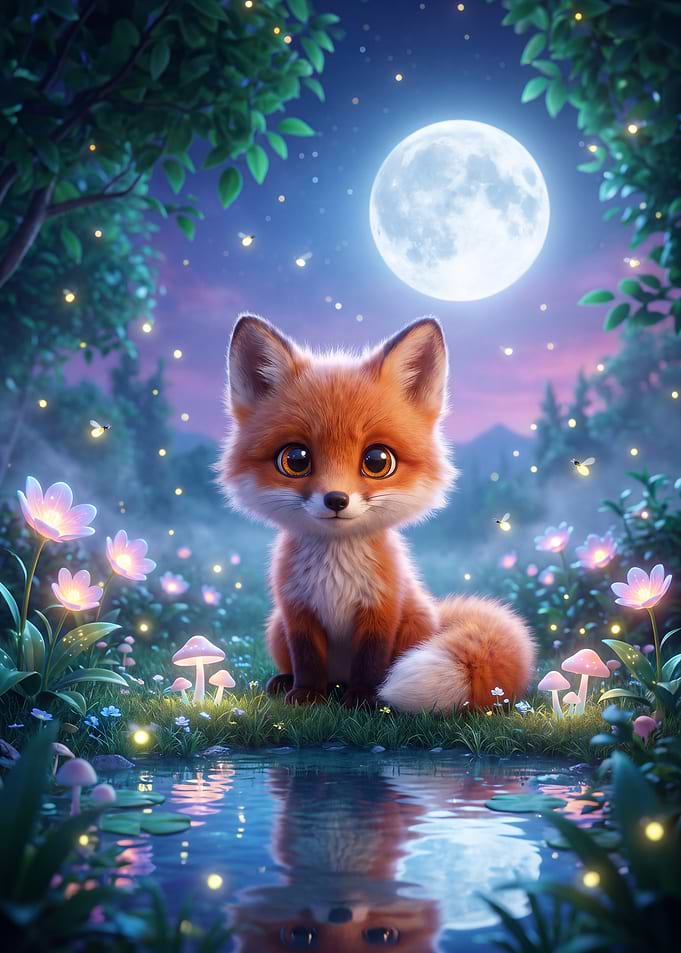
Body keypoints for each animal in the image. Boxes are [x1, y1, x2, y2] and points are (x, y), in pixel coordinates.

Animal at [219, 314, 535, 711]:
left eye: (376, 461)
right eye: (295, 459)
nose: (336, 500)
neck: (336, 572)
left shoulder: (381, 610)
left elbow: (371, 662)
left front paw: (364, 699)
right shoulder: (297, 612)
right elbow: (306, 659)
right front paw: (305, 696)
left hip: (413, 622)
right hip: (275, 628)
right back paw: (286, 682)